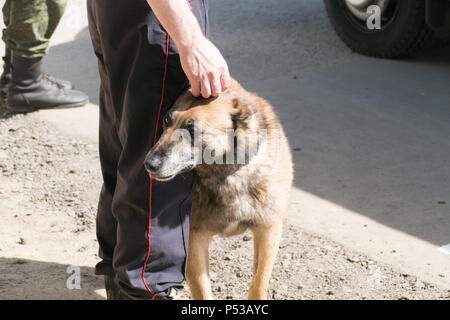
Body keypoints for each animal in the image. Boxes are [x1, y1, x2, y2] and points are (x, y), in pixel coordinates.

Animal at [142, 78, 294, 300]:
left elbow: (258, 284)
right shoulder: (193, 240)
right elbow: (203, 292)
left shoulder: (268, 230)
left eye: (193, 131)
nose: (149, 163)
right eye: (165, 122)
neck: (227, 175)